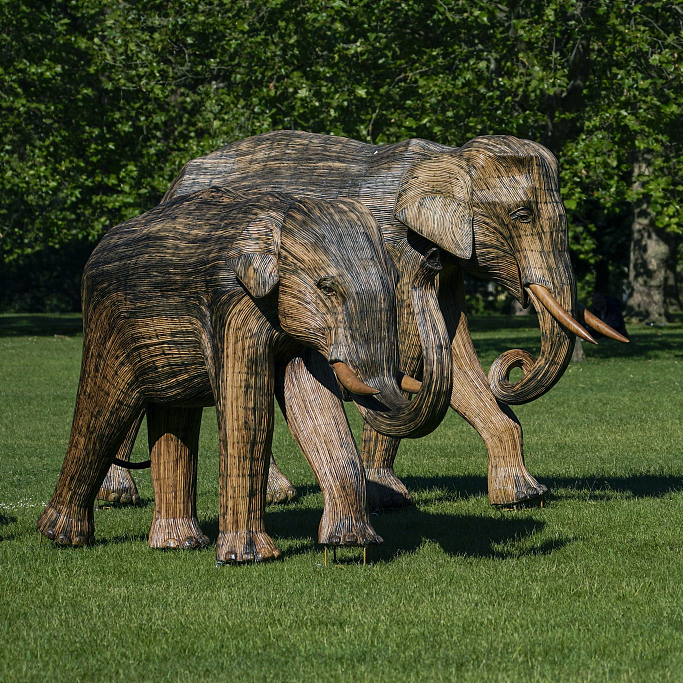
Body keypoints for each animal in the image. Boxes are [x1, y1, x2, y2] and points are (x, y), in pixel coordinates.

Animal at [37, 188, 453, 562]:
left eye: (393, 280)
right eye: (327, 288)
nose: (431, 259)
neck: (281, 210)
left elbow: (315, 408)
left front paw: (351, 546)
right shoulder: (233, 303)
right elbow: (250, 413)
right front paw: (250, 558)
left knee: (172, 414)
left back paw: (179, 544)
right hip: (107, 324)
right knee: (102, 413)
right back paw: (62, 538)